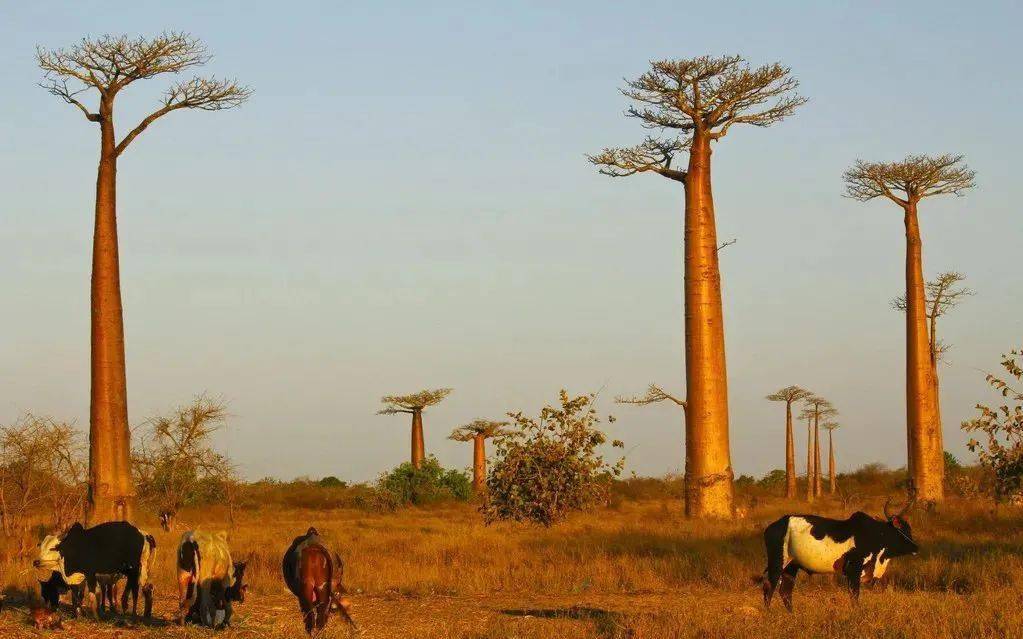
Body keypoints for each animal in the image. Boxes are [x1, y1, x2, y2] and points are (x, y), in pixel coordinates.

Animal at [761, 492, 920, 609]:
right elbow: (854, 596)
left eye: (909, 528)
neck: (877, 534)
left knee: (785, 592)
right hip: (777, 563)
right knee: (769, 588)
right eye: (901, 529)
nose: (916, 548)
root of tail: (772, 526)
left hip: (791, 566)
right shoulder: (853, 571)